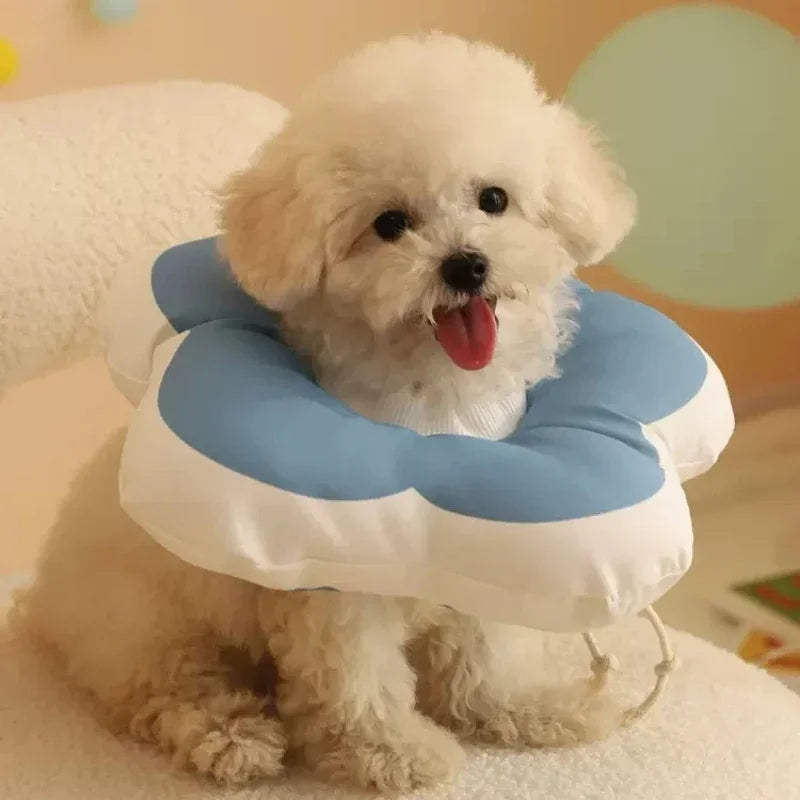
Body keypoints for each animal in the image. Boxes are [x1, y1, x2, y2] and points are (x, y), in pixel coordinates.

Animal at [15, 32, 636, 792]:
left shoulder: (480, 542)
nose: (465, 264)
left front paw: (521, 707)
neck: (429, 401)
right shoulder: (337, 581)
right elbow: (356, 674)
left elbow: (483, 647)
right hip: (144, 622)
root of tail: (43, 602)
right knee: (167, 689)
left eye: (494, 199)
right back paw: (231, 736)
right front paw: (391, 752)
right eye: (390, 224)